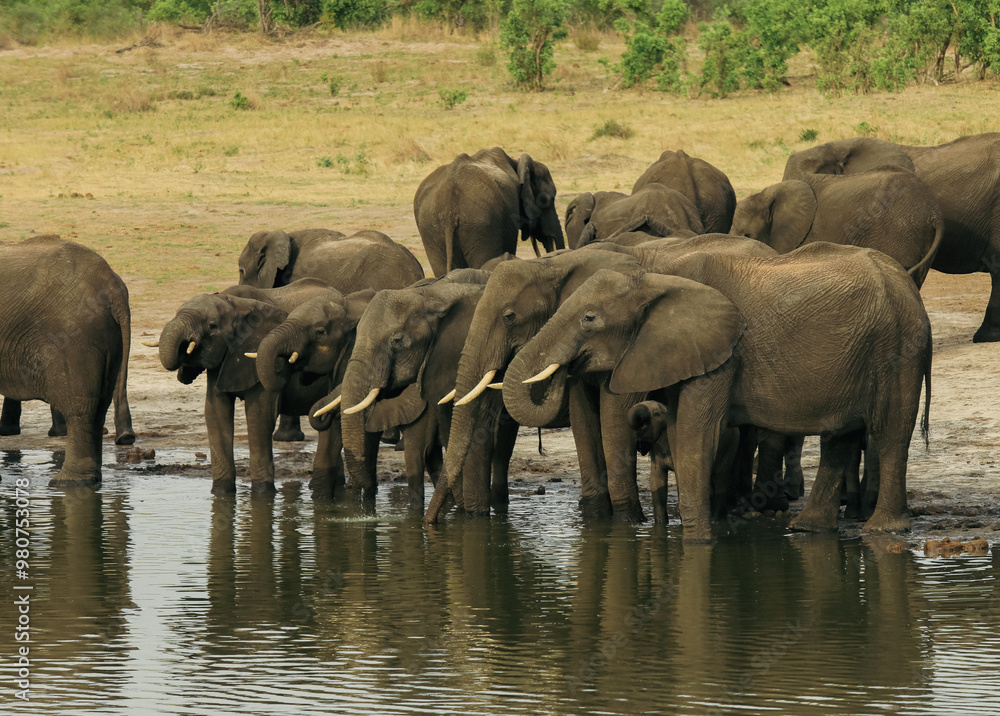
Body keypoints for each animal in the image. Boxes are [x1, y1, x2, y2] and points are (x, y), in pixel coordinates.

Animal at [157, 281, 365, 494]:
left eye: (212, 325)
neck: (232, 303)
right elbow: (216, 413)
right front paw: (221, 493)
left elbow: (259, 416)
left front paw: (262, 494)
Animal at [424, 235, 778, 526]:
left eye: (509, 317)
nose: (430, 524)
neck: (554, 264)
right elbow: (583, 416)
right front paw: (595, 516)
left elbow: (614, 413)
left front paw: (629, 522)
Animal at [504, 243, 932, 542]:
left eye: (590, 319)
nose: (568, 369)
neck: (655, 277)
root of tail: (909, 286)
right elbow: (679, 436)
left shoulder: (720, 353)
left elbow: (698, 439)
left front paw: (695, 542)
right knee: (840, 438)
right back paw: (806, 530)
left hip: (898, 347)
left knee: (891, 433)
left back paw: (883, 531)